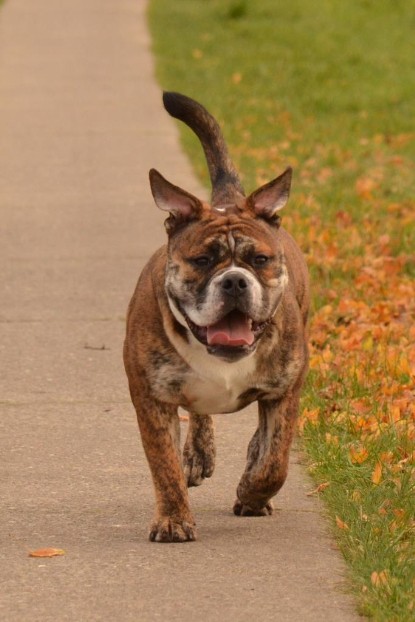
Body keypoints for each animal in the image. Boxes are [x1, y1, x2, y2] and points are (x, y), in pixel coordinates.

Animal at [123, 91, 308, 540]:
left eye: (259, 260)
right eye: (203, 260)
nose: (235, 281)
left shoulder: (285, 390)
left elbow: (275, 462)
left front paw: (251, 492)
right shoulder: (151, 398)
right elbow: (164, 466)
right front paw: (173, 518)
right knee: (199, 414)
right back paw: (198, 454)